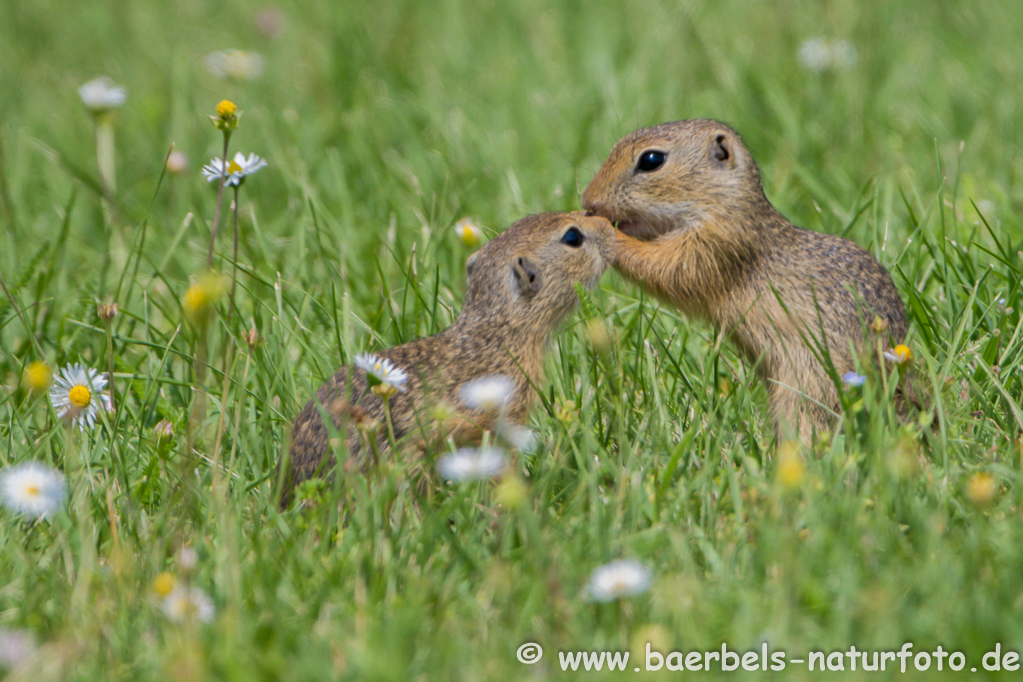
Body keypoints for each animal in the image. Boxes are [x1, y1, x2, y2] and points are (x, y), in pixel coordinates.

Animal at [581, 119, 908, 439]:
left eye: (651, 160)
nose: (588, 200)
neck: (726, 203)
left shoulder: (717, 246)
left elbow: (666, 269)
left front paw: (604, 231)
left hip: (807, 391)